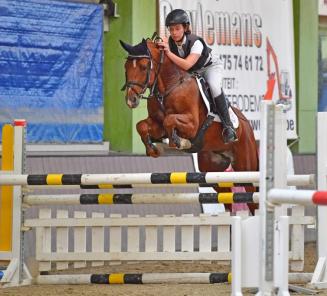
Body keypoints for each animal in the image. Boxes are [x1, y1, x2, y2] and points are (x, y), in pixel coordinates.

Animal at [119, 37, 260, 213]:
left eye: (144, 67)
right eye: (126, 67)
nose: (131, 100)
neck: (169, 86)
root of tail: (247, 125)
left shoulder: (192, 125)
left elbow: (169, 120)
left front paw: (179, 142)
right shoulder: (157, 124)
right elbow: (142, 126)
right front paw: (153, 149)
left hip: (246, 166)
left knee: (253, 197)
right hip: (211, 168)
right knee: (226, 193)